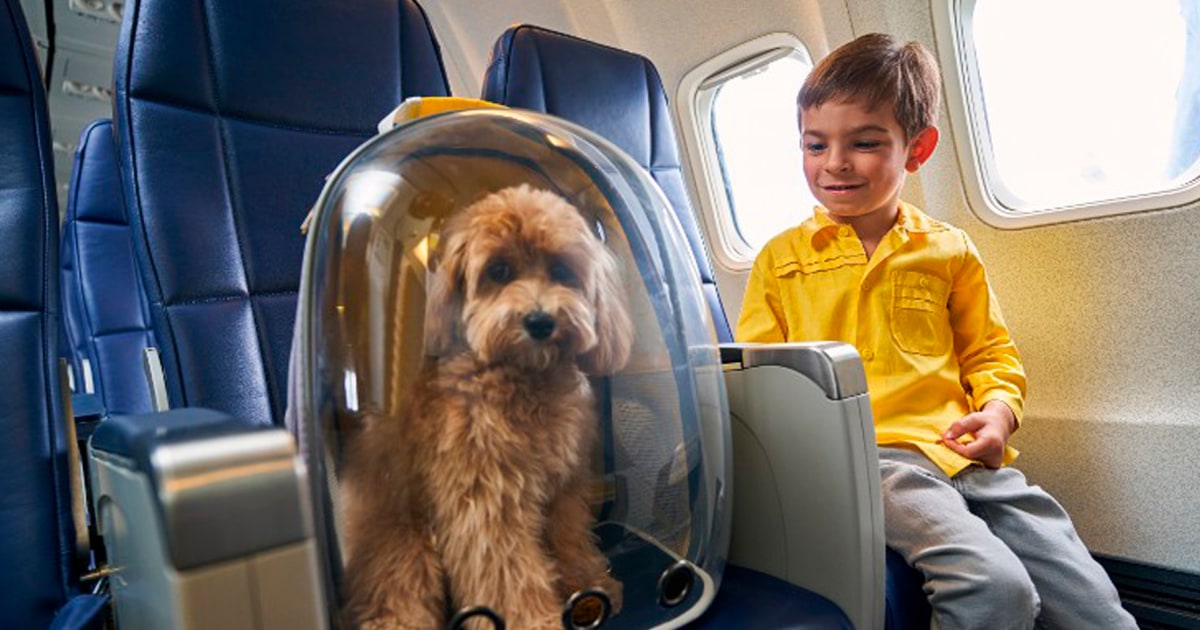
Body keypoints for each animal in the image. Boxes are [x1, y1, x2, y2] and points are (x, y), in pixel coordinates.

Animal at [340, 184, 633, 624]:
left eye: (562, 270)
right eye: (499, 271)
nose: (540, 321)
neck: (523, 378)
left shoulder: (564, 489)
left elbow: (569, 540)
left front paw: (587, 589)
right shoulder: (486, 499)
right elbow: (506, 569)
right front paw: (534, 621)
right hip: (406, 543)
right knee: (395, 596)